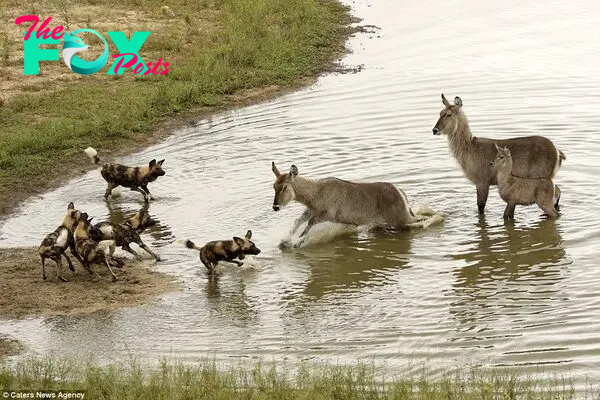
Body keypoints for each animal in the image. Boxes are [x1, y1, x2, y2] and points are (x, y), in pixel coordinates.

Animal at [272, 160, 422, 247]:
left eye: (284, 187)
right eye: (274, 186)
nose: (275, 207)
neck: (316, 192)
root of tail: (400, 192)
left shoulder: (328, 215)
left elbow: (310, 223)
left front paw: (298, 242)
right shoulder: (310, 210)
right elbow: (298, 221)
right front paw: (285, 241)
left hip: (402, 220)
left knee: (422, 219)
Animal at [434, 93, 564, 216]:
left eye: (449, 114)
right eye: (440, 113)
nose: (434, 130)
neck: (469, 148)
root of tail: (557, 151)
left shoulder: (482, 182)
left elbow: (481, 207)